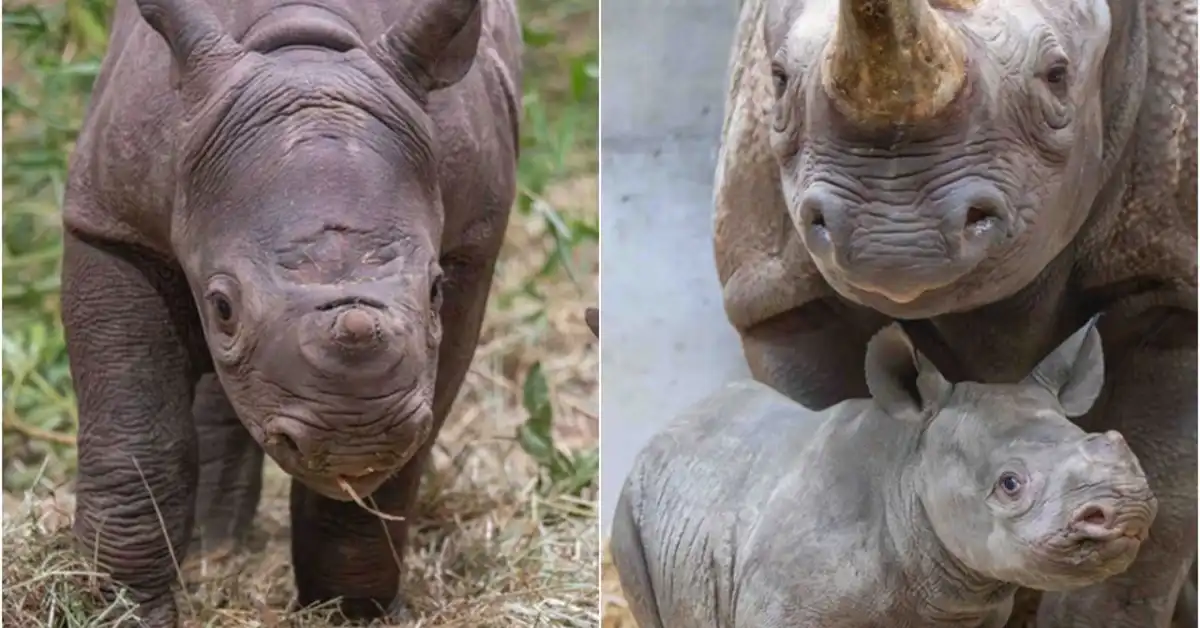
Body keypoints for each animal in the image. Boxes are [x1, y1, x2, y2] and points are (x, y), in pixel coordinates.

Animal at [60, 0, 520, 624]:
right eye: (223, 308)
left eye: (435, 292)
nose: (356, 441)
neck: (302, 51)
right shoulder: (112, 224)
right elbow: (136, 438)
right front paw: (119, 610)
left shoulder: (472, 243)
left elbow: (393, 471)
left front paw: (352, 611)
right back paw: (213, 557)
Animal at [710, 0, 1190, 624]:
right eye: (778, 80)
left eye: (1057, 75)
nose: (894, 235)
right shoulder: (780, 296)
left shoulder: (1173, 278)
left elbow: (1159, 515)